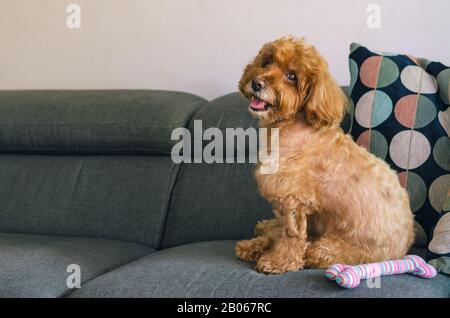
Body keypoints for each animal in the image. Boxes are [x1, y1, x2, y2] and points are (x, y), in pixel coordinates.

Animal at [236, 37, 414, 274]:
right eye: (267, 62)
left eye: (291, 76)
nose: (257, 83)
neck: (291, 124)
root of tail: (404, 249)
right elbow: (283, 230)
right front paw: (259, 244)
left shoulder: (293, 200)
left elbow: (291, 236)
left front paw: (278, 262)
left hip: (327, 249)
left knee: (310, 250)